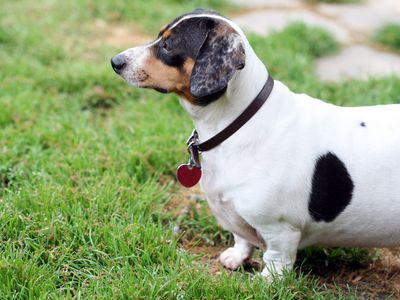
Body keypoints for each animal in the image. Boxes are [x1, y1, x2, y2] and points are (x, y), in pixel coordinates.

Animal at [111, 9, 400, 282]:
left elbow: (275, 259)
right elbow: (242, 239)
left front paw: (266, 281)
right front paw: (236, 257)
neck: (239, 123)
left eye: (168, 46)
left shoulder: (280, 230)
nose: (115, 61)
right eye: (159, 35)